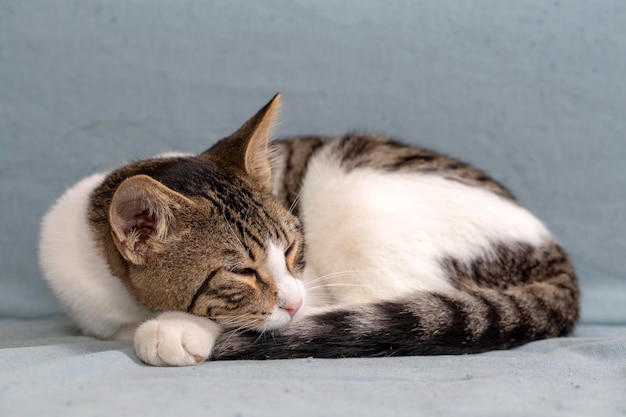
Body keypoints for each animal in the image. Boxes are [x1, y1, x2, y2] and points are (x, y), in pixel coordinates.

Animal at [37, 93, 576, 364]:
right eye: (242, 272)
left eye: (296, 248)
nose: (293, 300)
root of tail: (552, 249)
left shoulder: (313, 286)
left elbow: (283, 321)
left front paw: (179, 330)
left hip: (354, 191)